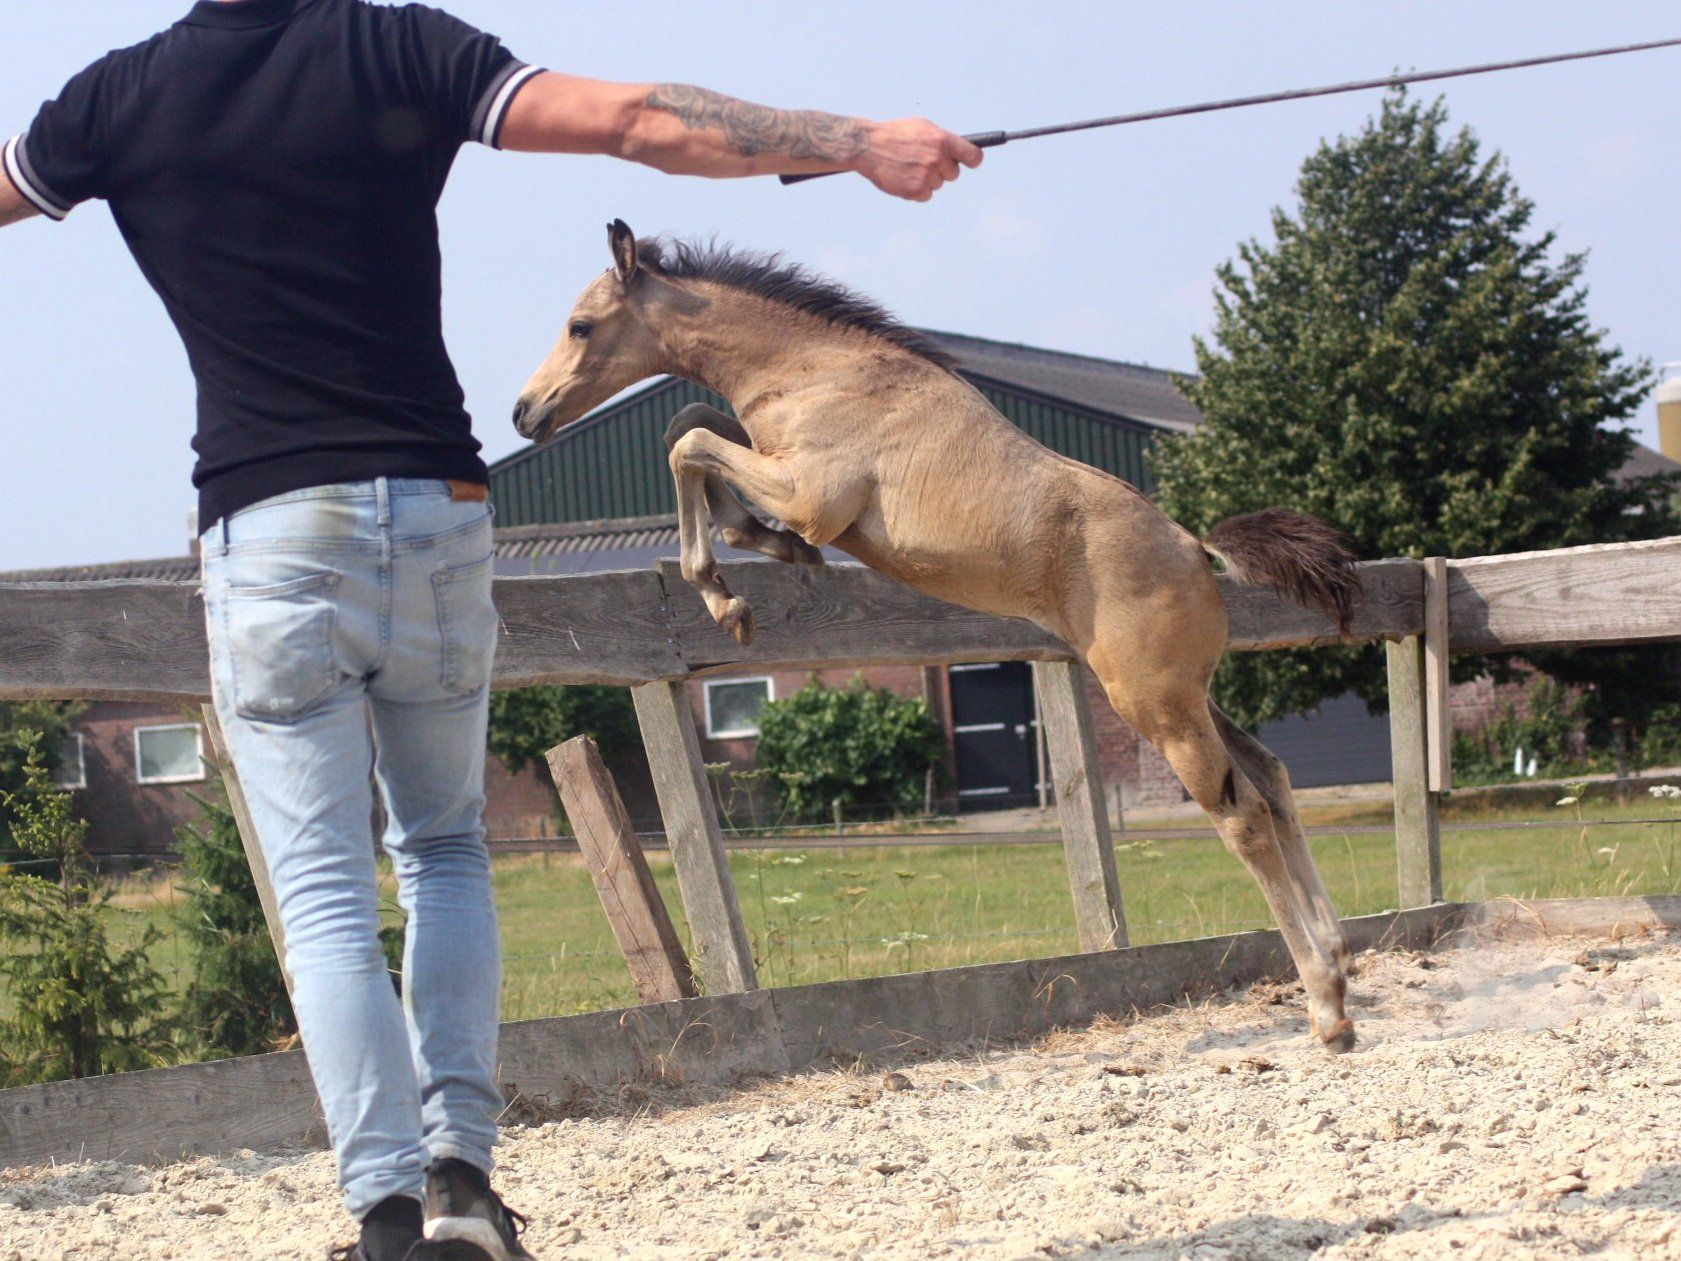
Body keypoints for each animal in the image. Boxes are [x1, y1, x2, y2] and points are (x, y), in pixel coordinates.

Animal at [514, 220, 1364, 1051]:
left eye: (580, 324)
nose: (525, 411)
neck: (817, 368)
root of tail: (1194, 547)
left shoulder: (810, 491)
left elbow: (686, 444)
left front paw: (733, 590)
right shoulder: (771, 453)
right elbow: (690, 423)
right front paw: (763, 548)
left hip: (1154, 704)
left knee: (1242, 815)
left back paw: (1325, 1005)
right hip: (1187, 694)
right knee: (1273, 779)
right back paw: (1337, 956)